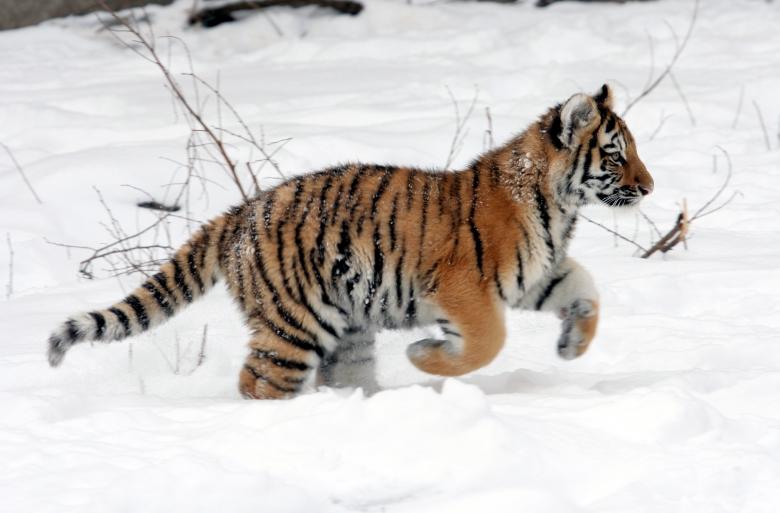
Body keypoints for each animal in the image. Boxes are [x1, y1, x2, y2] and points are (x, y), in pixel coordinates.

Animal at [47, 84, 653, 399]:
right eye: (616, 155)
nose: (650, 187)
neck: (559, 207)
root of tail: (239, 213)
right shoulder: (463, 288)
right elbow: (488, 342)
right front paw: (424, 356)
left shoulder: (536, 274)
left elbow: (586, 289)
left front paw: (573, 345)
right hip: (294, 324)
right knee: (258, 382)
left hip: (349, 327)